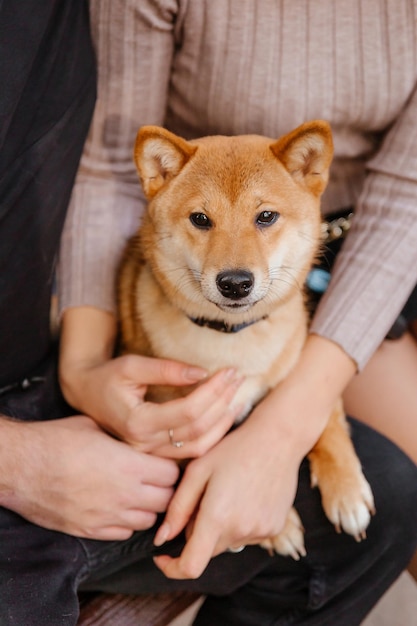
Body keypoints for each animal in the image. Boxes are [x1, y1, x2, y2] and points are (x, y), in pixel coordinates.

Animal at [117, 122, 374, 556]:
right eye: (200, 219)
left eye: (266, 216)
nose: (235, 283)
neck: (235, 341)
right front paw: (275, 527)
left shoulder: (300, 362)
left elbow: (328, 422)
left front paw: (346, 489)